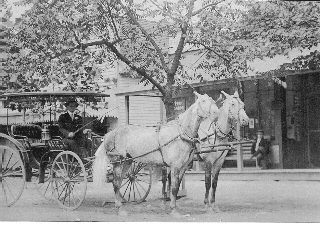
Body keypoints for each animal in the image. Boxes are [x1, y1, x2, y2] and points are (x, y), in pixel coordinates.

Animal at [92, 92, 220, 216]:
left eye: (213, 100)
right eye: (203, 101)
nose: (216, 113)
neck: (180, 133)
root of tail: (110, 134)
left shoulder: (182, 167)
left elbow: (177, 186)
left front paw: (174, 206)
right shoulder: (175, 166)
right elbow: (174, 188)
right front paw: (173, 210)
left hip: (127, 161)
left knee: (119, 182)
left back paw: (119, 206)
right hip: (118, 162)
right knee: (116, 183)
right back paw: (119, 209)